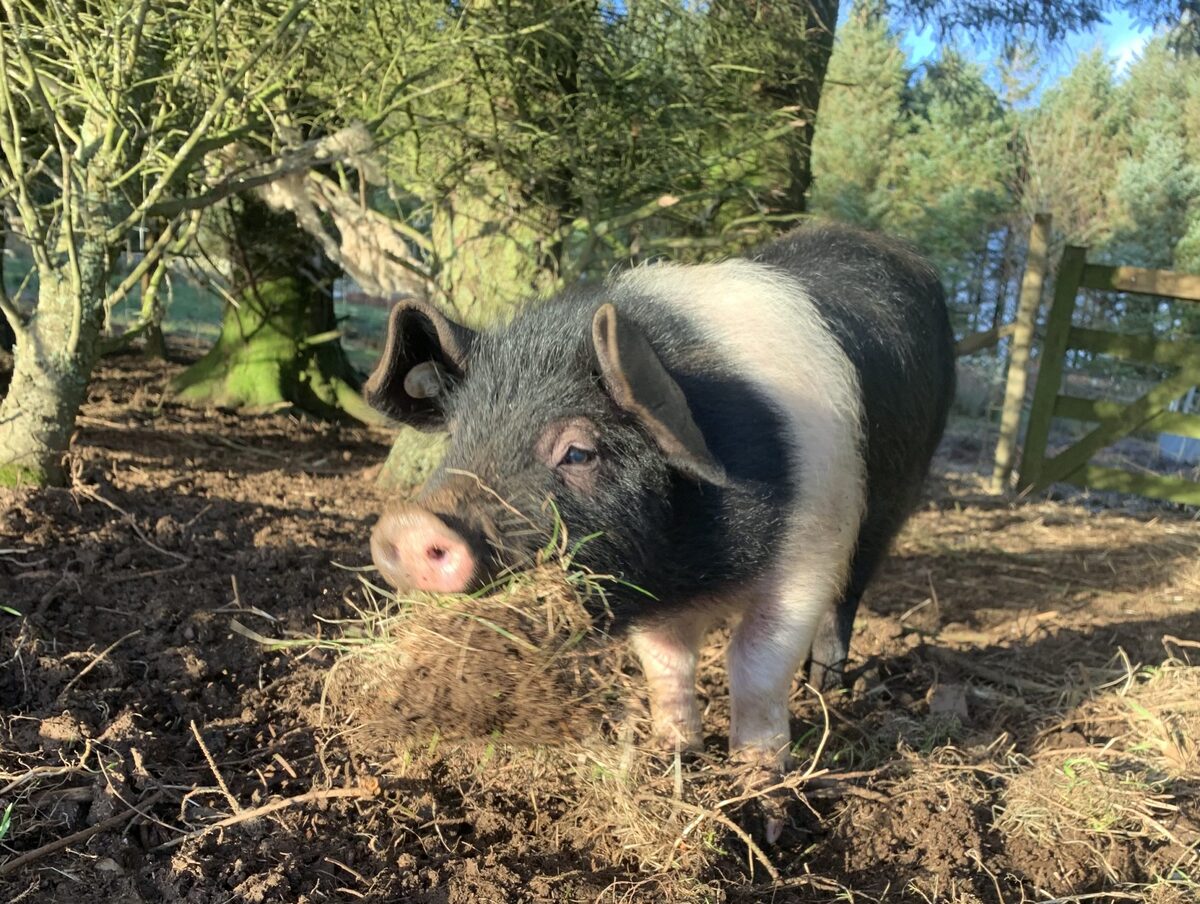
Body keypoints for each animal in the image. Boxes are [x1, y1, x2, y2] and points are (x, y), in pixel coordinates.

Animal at [364, 220, 955, 777]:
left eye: (578, 452)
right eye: (456, 436)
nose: (409, 525)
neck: (697, 567)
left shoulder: (811, 543)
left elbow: (757, 658)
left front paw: (756, 773)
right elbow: (666, 662)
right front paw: (670, 752)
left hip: (888, 506)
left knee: (846, 601)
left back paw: (826, 689)